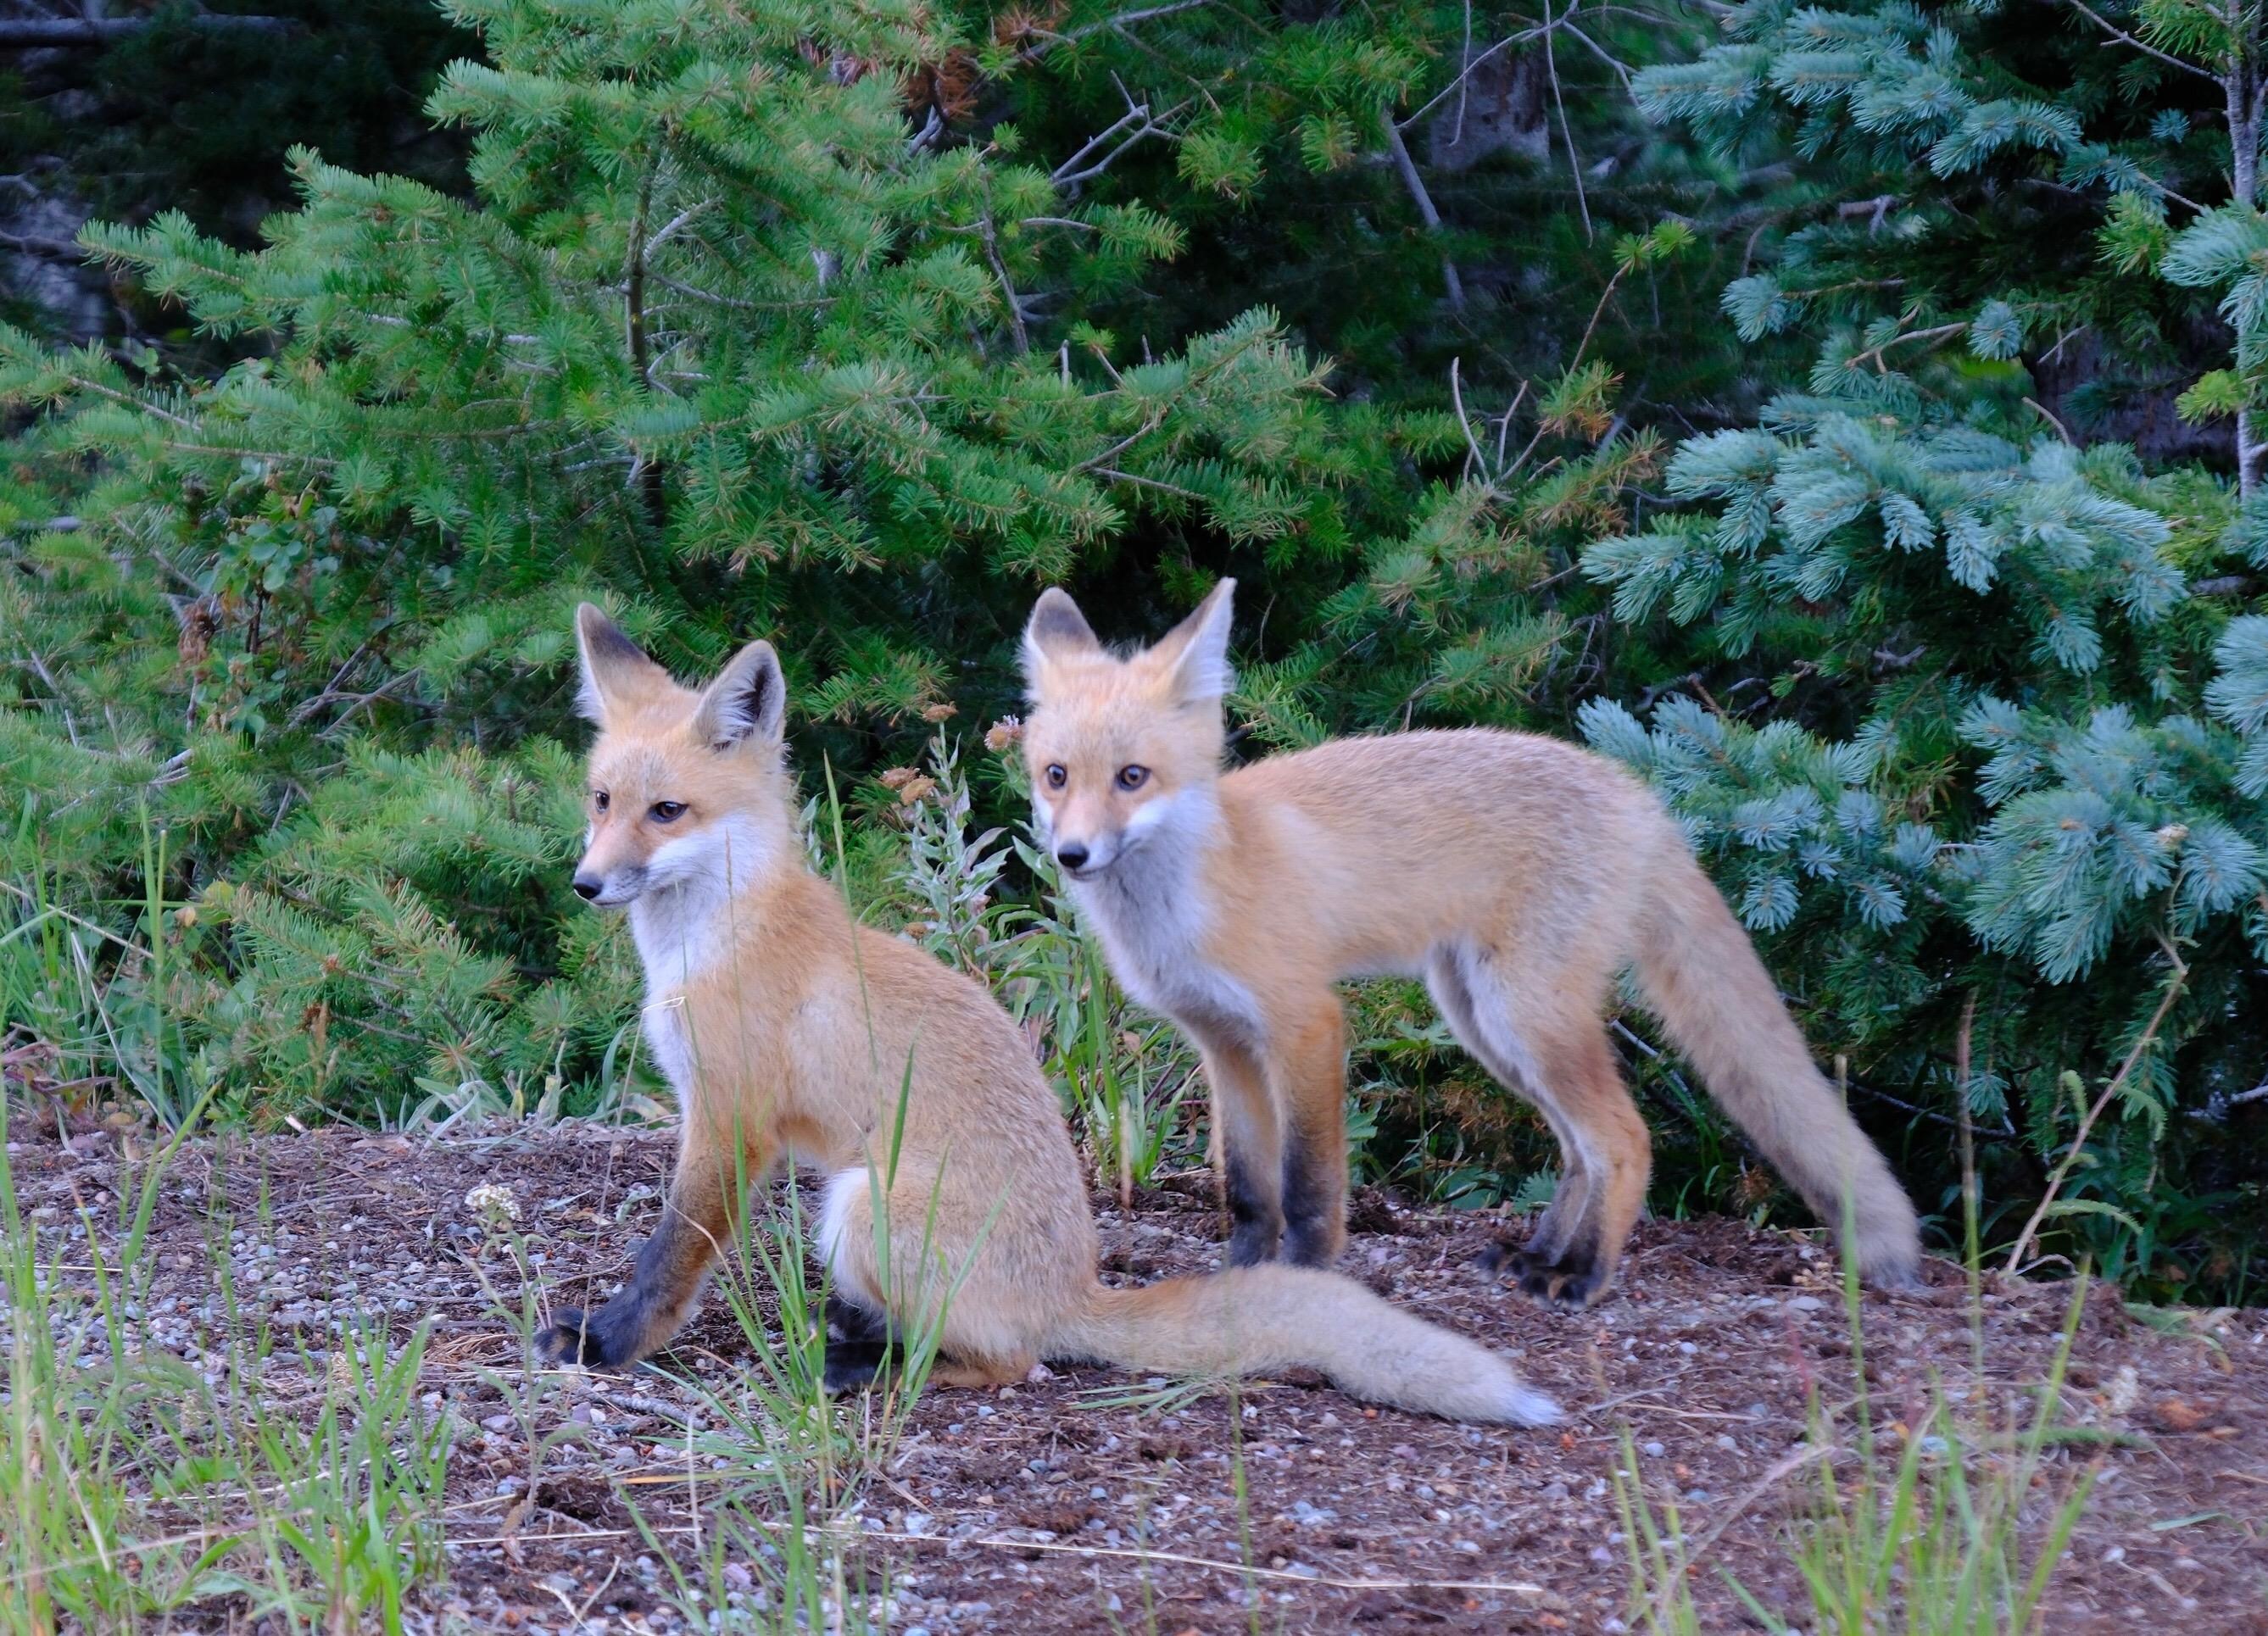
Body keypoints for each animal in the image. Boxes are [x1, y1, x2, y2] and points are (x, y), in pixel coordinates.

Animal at [533, 603, 1561, 1425]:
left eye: (667, 811)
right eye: (602, 800)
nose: (585, 884)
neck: (713, 939)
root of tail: (1076, 1289)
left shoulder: (729, 1117)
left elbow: (670, 1255)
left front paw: (606, 1343)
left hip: (862, 1205)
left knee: (1009, 1361)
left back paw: (869, 1365)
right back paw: (856, 1335)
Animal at [1016, 579, 1925, 1307]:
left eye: (1132, 778)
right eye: (1056, 776)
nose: (1072, 856)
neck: (1191, 897)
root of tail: (1640, 797)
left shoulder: (1306, 1025)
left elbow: (1308, 1188)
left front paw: (1305, 1281)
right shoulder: (1225, 1044)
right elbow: (1246, 1190)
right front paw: (1242, 1279)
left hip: (1522, 1015)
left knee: (1623, 1139)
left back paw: (1585, 1277)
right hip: (1483, 1022)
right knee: (1577, 1150)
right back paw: (1540, 1256)